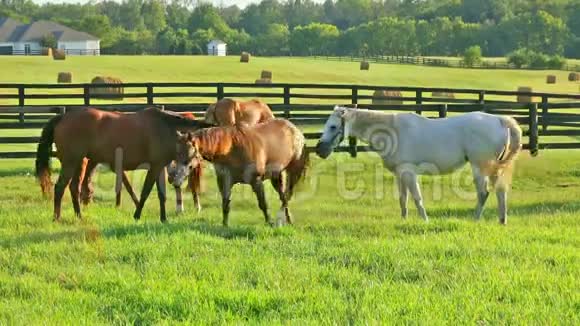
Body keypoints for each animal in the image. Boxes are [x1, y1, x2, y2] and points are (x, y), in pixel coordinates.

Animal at [35, 107, 211, 222]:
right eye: (194, 154)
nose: (177, 181)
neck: (164, 127)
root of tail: (63, 117)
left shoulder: (159, 167)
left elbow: (161, 194)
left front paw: (163, 218)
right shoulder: (154, 167)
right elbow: (145, 192)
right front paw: (137, 215)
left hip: (80, 162)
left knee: (74, 187)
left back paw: (79, 216)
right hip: (71, 161)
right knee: (60, 187)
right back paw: (57, 218)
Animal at [171, 119, 308, 227]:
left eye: (189, 154)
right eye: (177, 153)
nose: (176, 181)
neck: (231, 149)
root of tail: (295, 130)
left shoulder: (256, 181)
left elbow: (263, 204)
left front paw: (270, 222)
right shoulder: (224, 181)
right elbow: (225, 204)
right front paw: (225, 225)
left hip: (293, 172)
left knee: (287, 195)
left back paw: (281, 219)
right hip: (276, 175)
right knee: (283, 196)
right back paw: (288, 220)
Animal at [314, 107, 524, 224]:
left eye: (333, 126)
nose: (320, 150)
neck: (393, 132)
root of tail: (500, 121)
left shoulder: (409, 172)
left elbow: (417, 198)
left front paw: (425, 221)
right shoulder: (400, 174)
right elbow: (403, 199)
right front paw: (404, 220)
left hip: (479, 167)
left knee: (483, 194)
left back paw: (475, 220)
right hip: (495, 169)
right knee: (500, 192)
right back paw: (502, 221)